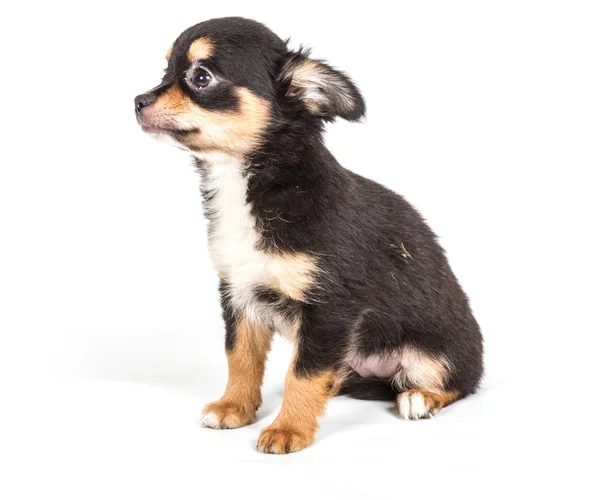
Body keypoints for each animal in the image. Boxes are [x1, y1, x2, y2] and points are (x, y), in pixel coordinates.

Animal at [135, 16, 482, 454]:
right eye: (165, 71)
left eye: (201, 77)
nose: (137, 101)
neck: (245, 184)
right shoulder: (238, 292)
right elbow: (240, 357)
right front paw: (235, 406)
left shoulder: (329, 308)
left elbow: (301, 373)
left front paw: (288, 429)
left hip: (434, 354)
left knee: (457, 382)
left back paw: (420, 397)